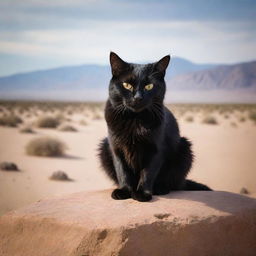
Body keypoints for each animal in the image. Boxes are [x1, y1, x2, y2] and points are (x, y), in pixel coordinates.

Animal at [98, 51, 210, 201]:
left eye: (149, 86)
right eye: (127, 85)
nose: (138, 97)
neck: (135, 120)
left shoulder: (155, 150)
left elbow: (148, 173)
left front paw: (142, 193)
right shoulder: (117, 148)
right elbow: (122, 171)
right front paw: (124, 191)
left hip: (184, 148)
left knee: (173, 183)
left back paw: (160, 189)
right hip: (104, 147)